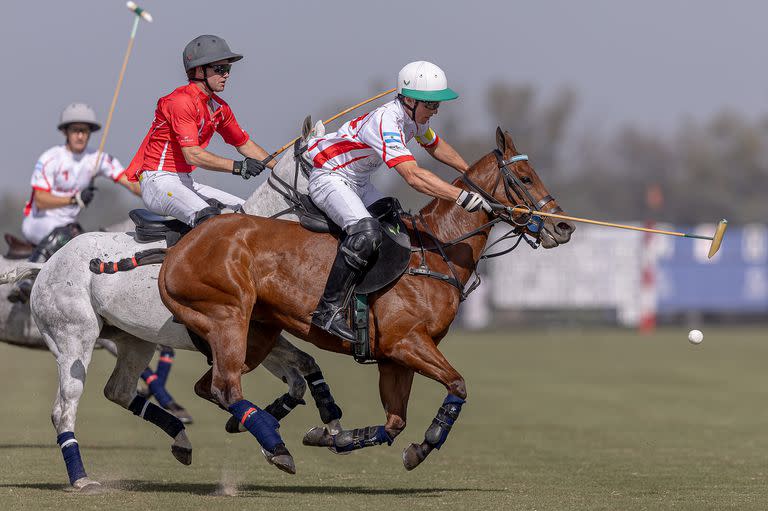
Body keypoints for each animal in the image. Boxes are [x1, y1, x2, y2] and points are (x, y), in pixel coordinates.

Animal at [159, 130, 572, 474]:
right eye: (525, 178)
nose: (564, 227)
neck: (435, 251)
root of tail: (177, 251)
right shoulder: (406, 342)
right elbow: (458, 384)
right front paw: (425, 444)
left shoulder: (394, 359)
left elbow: (394, 423)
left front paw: (335, 436)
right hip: (229, 317)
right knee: (225, 387)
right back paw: (276, 447)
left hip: (257, 333)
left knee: (210, 387)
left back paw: (262, 424)